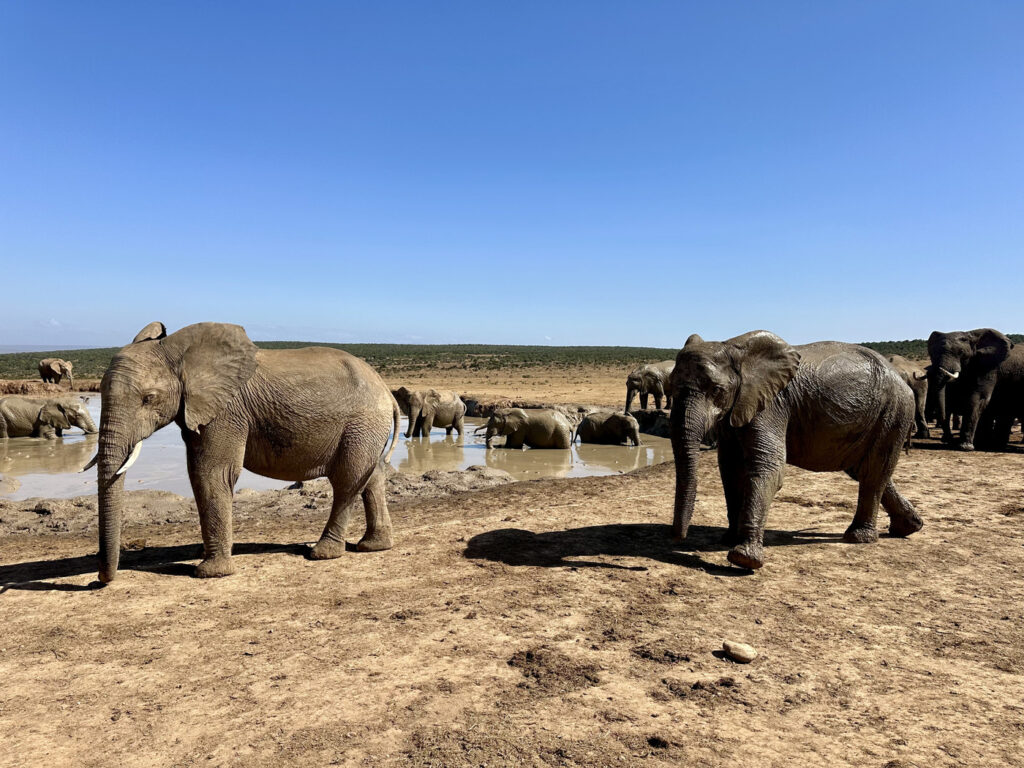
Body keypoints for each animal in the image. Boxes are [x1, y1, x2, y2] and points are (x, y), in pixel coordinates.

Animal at [87, 319, 399, 581]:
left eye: (148, 398)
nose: (100, 581)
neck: (178, 350)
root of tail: (386, 389)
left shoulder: (226, 412)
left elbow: (210, 474)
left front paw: (209, 573)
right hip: (367, 429)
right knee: (371, 477)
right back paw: (373, 546)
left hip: (361, 424)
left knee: (347, 480)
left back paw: (321, 553)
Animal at [667, 331, 925, 573]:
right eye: (671, 386)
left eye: (717, 390)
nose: (678, 538)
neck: (733, 348)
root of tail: (901, 379)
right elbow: (730, 467)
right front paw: (729, 539)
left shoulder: (772, 404)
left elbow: (768, 465)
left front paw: (743, 558)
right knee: (863, 469)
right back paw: (909, 527)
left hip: (894, 412)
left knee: (873, 471)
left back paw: (858, 538)